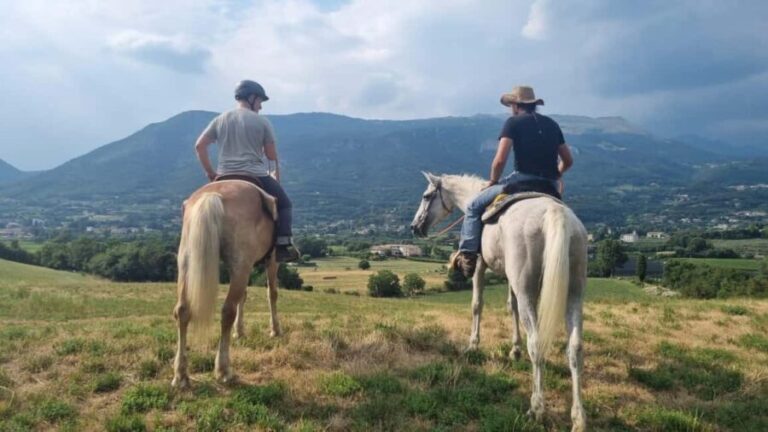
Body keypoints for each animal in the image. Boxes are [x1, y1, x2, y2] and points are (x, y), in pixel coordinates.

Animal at [172, 179, 281, 388]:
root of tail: (213, 196)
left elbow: (244, 297)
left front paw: (240, 332)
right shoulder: (271, 260)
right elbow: (271, 293)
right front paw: (275, 330)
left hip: (186, 262)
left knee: (182, 311)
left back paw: (181, 375)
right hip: (241, 264)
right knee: (227, 311)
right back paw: (223, 370)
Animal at [410, 172, 588, 432]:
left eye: (426, 196)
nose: (415, 227)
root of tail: (555, 214)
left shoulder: (480, 265)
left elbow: (477, 304)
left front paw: (473, 345)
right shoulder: (510, 277)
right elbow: (511, 308)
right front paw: (514, 350)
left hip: (527, 288)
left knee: (536, 344)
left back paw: (537, 408)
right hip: (573, 290)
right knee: (574, 348)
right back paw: (578, 418)